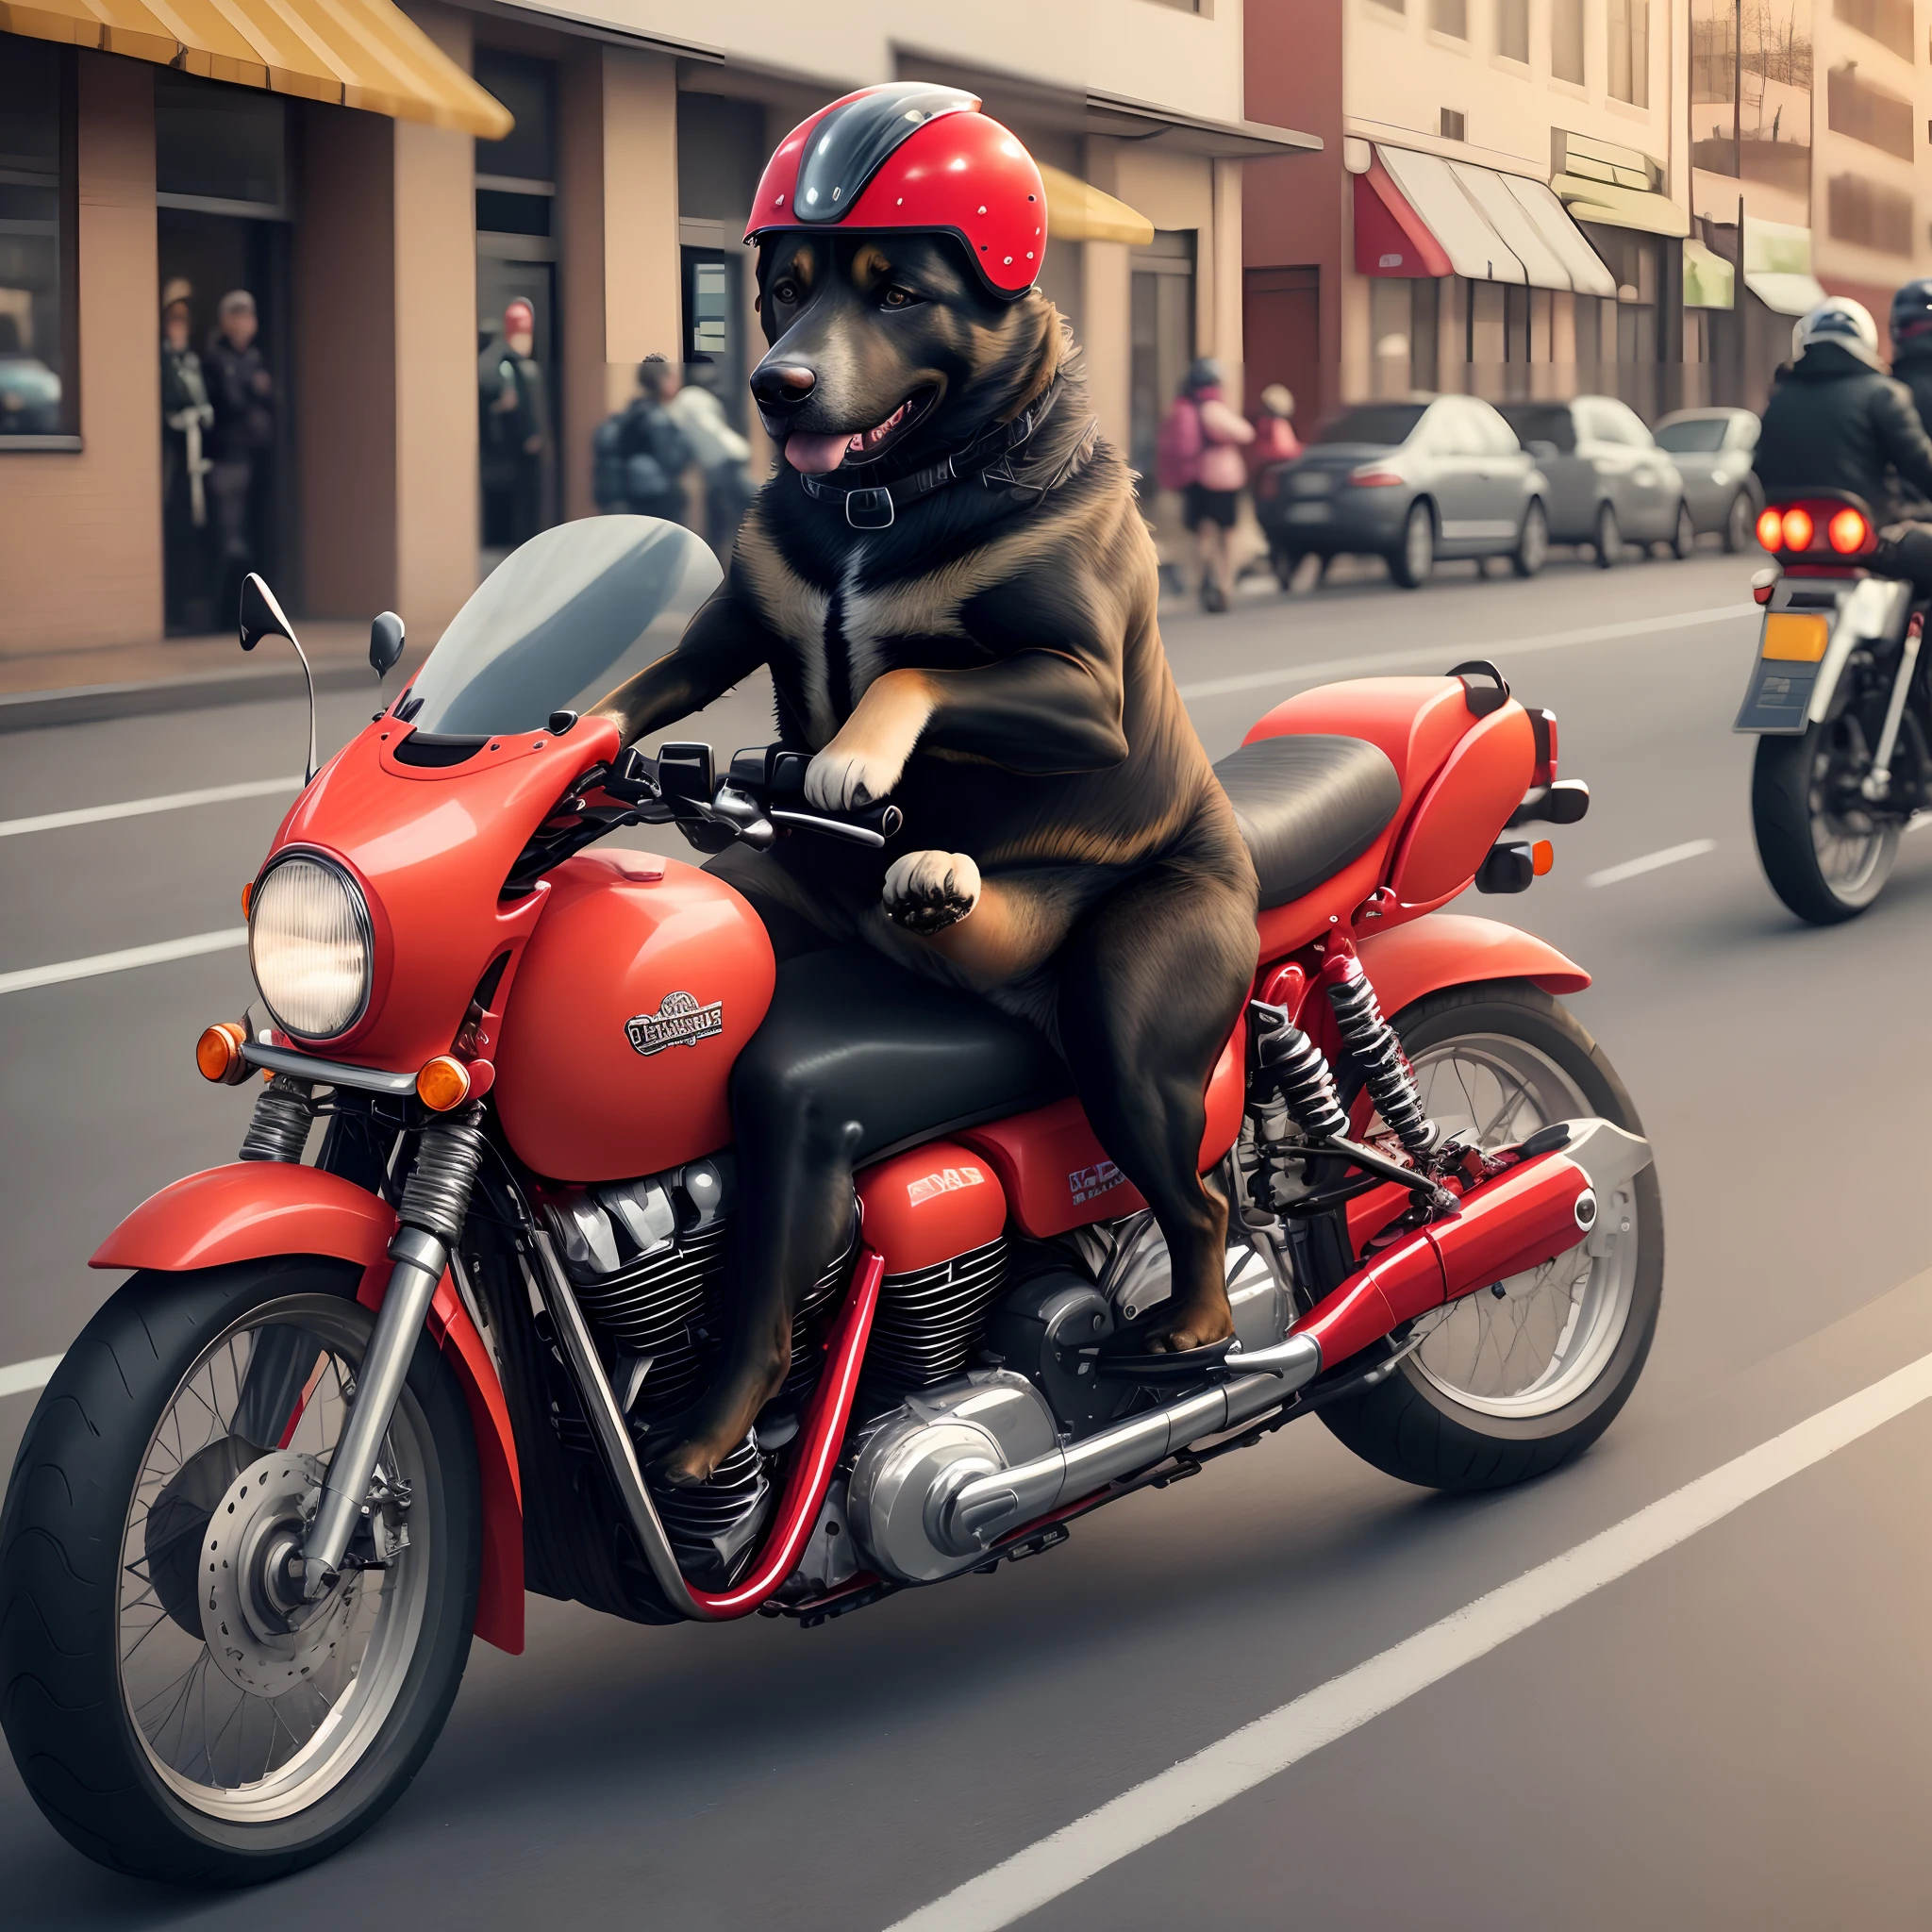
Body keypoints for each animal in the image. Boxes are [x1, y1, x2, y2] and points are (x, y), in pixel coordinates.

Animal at [587, 83, 1259, 1483]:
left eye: (897, 291)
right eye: (782, 289)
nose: (775, 382)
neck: (879, 504)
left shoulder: (1085, 689)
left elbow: (916, 676)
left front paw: (854, 756)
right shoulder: (738, 619)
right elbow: (665, 670)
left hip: (1132, 1008)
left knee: (1203, 1190)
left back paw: (1188, 1331)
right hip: (807, 904)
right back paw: (926, 884)